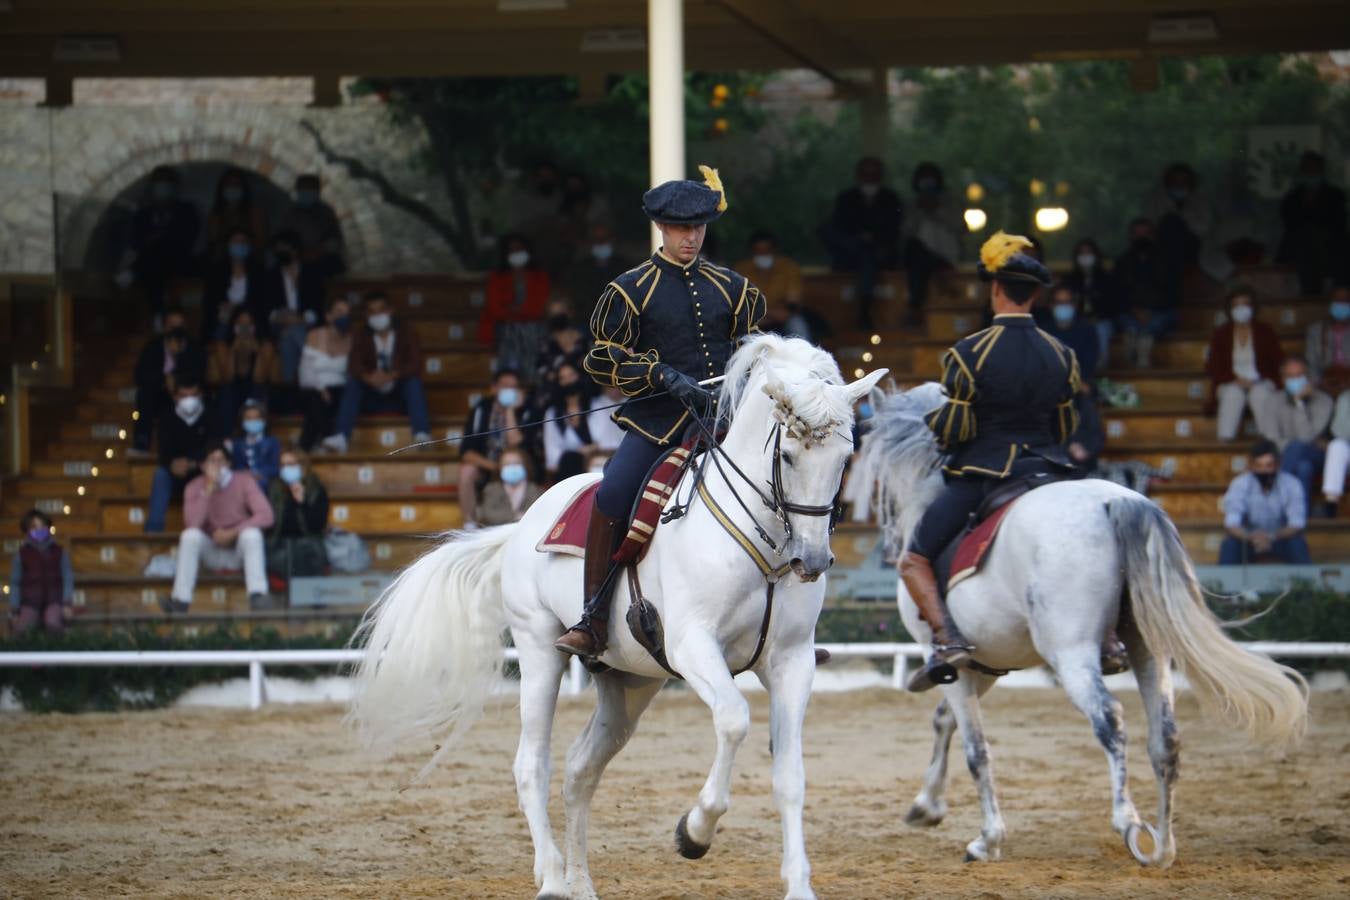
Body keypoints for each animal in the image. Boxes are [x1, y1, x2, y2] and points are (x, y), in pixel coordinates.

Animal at [345, 335, 885, 900]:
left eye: (846, 456)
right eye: (787, 454)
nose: (813, 560)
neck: (762, 541)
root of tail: (523, 523)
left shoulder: (792, 661)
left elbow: (791, 776)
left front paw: (798, 885)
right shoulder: (694, 647)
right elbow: (734, 720)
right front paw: (694, 832)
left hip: (630, 681)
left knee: (581, 770)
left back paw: (579, 882)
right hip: (539, 651)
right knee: (531, 764)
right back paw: (553, 878)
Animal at [853, 383, 1306, 868]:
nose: (889, 544)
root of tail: (1116, 501)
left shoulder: (950, 659)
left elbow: (976, 749)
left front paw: (987, 838)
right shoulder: (983, 665)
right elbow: (944, 722)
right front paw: (927, 805)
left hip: (1071, 654)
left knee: (1110, 719)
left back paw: (1129, 823)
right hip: (1149, 650)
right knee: (1165, 737)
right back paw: (1162, 846)